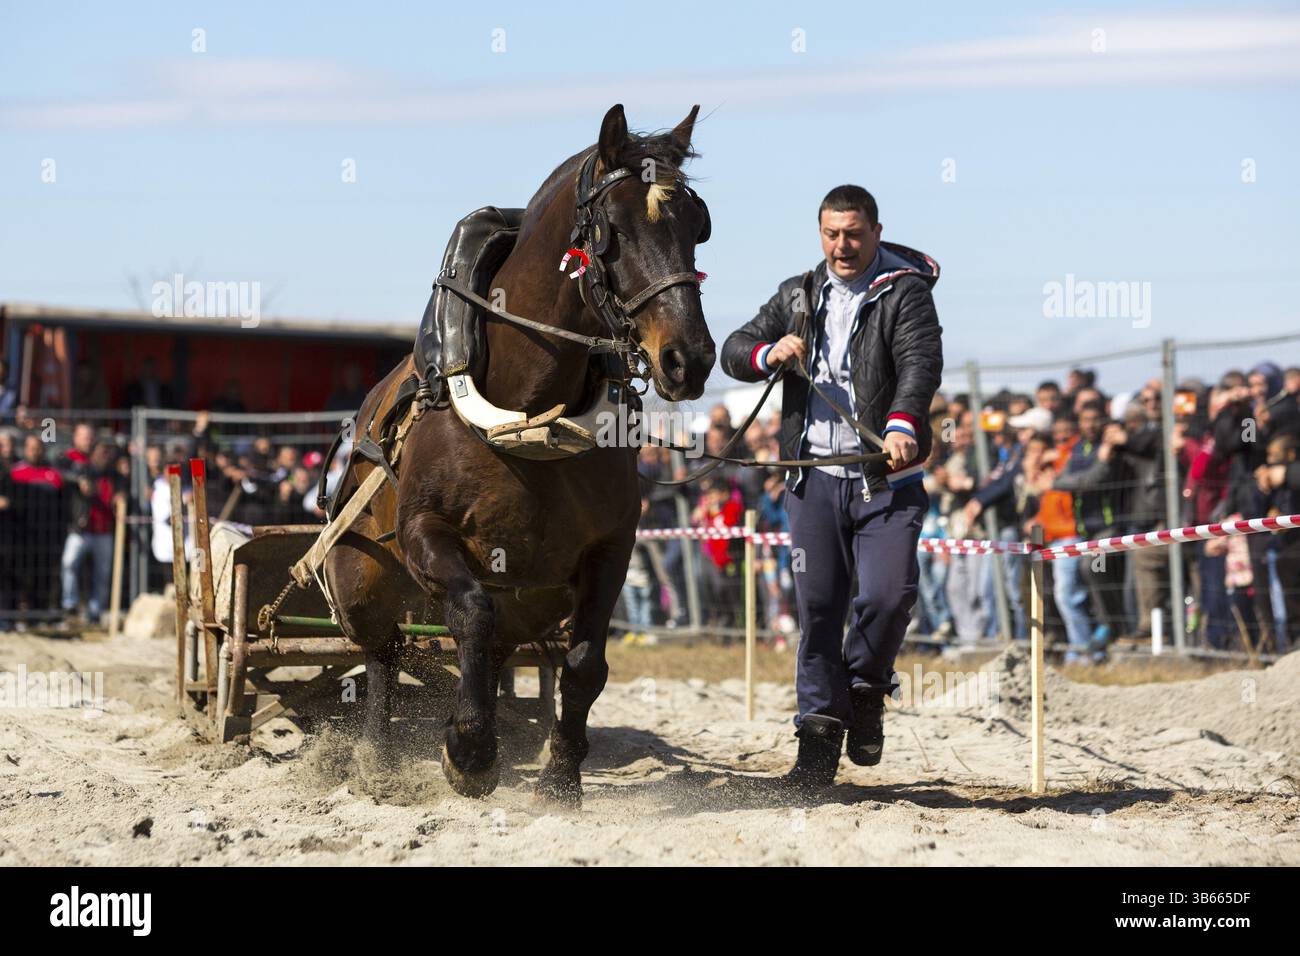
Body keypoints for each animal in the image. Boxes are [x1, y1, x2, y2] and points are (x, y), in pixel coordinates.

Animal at [324, 104, 715, 803]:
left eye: (697, 228)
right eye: (614, 230)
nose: (688, 359)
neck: (531, 411)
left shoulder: (612, 548)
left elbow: (584, 663)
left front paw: (560, 778)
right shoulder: (426, 533)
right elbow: (470, 616)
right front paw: (469, 751)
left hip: (534, 598)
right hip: (361, 581)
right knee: (384, 654)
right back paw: (377, 757)